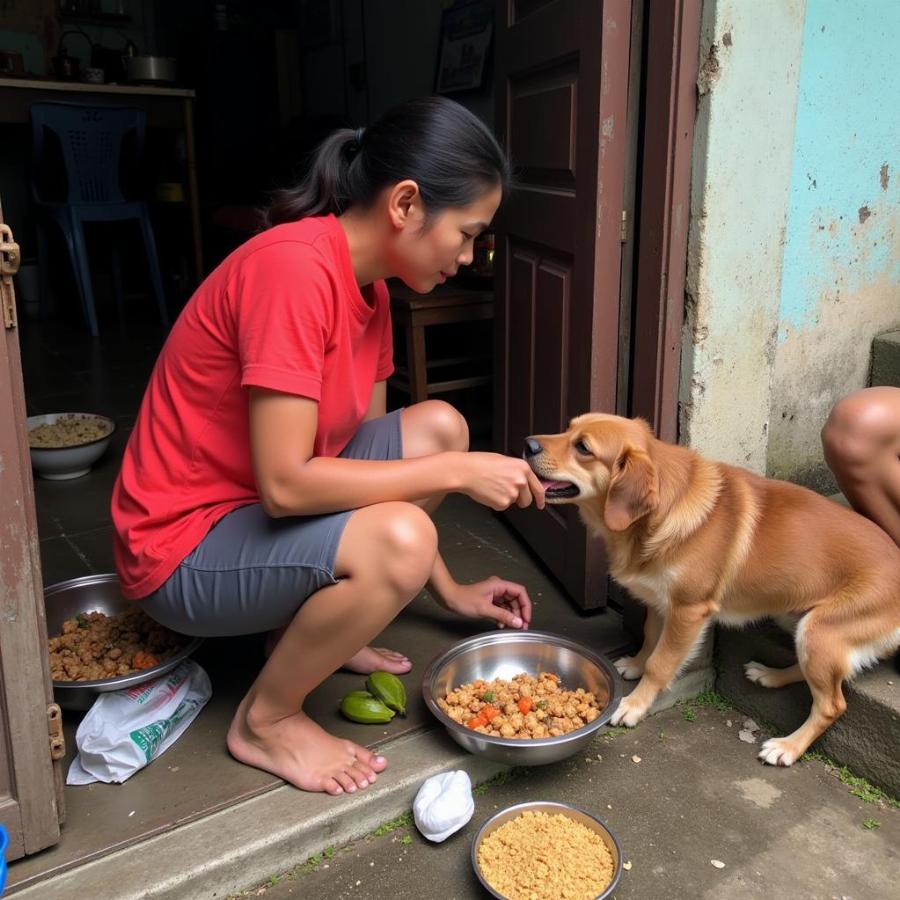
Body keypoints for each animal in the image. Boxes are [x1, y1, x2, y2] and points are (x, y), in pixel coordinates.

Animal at [524, 414, 900, 768]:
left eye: (583, 447)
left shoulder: (688, 611)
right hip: (795, 619)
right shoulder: (661, 602)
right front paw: (636, 662)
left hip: (818, 630)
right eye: (568, 427)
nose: (528, 444)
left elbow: (662, 663)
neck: (662, 510)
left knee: (831, 704)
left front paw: (634, 704)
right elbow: (650, 637)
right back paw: (771, 675)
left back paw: (788, 747)